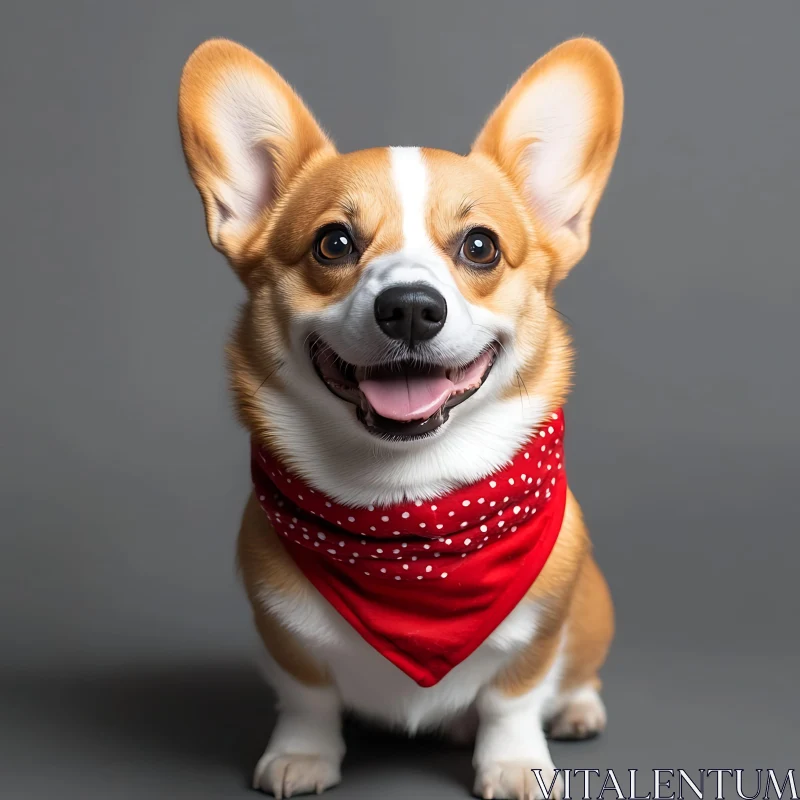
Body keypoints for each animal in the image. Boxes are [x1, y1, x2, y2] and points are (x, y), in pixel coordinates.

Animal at [178, 36, 620, 800]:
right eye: (333, 243)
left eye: (480, 246)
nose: (411, 307)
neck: (406, 502)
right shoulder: (283, 633)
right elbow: (308, 697)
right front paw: (302, 757)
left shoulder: (540, 630)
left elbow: (513, 697)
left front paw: (515, 765)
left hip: (591, 607)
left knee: (571, 677)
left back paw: (578, 709)